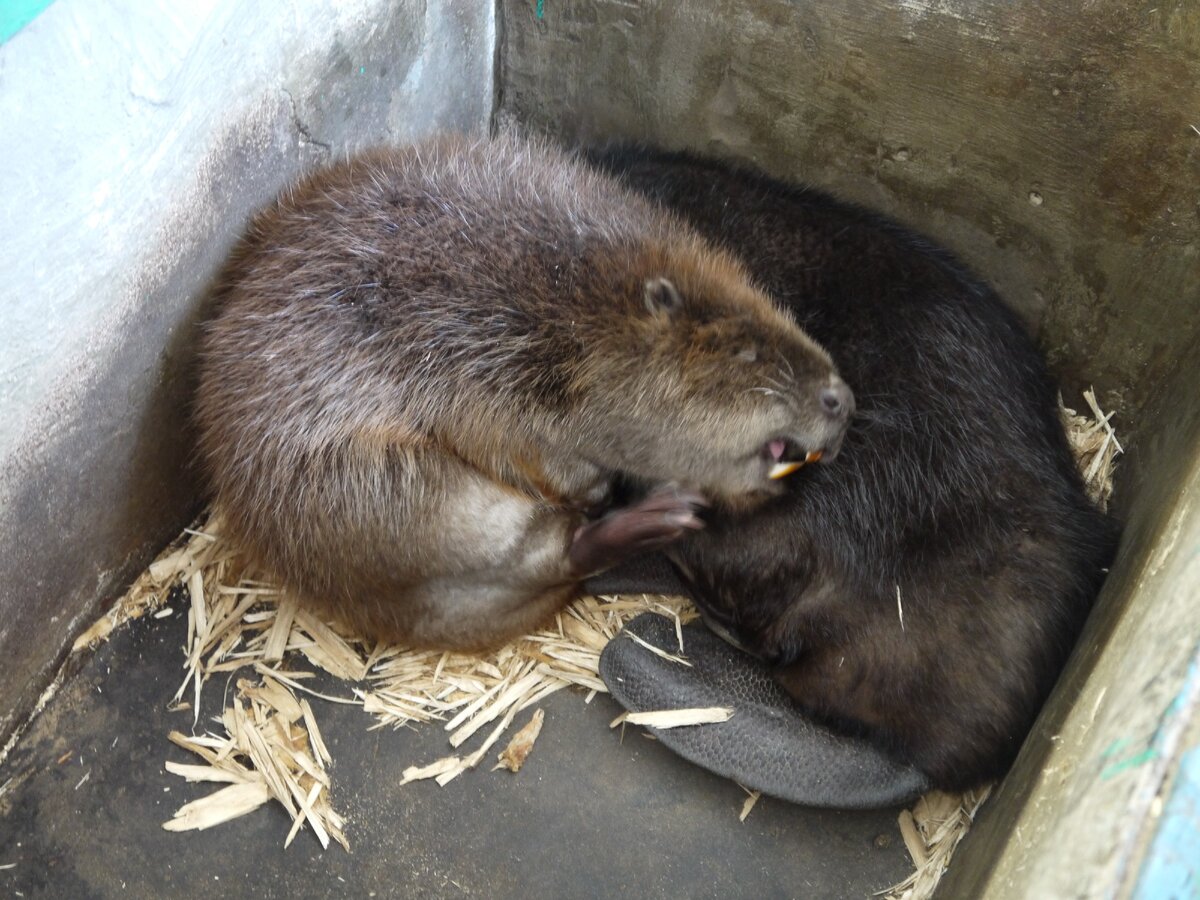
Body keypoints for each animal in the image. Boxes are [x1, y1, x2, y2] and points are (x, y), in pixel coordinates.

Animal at [194, 133, 854, 652]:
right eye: (746, 352)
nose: (841, 400)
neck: (577, 301)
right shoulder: (467, 349)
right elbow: (513, 443)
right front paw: (593, 486)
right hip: (379, 494)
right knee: (539, 545)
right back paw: (660, 514)